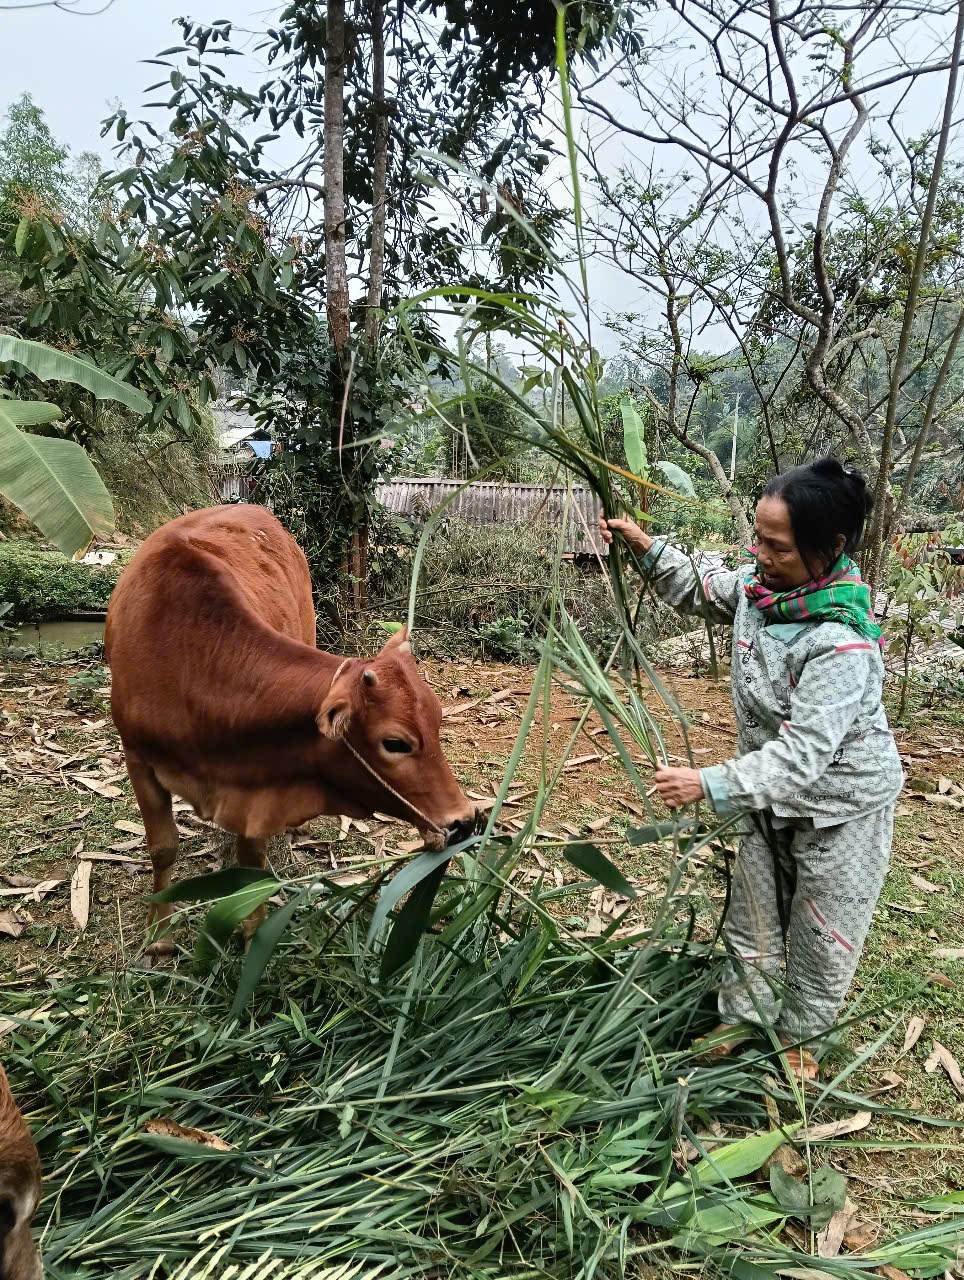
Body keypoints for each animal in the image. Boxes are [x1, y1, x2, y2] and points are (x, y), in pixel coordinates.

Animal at [106, 501, 478, 952]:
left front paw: (251, 933)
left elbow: (250, 864)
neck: (186, 660)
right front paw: (158, 932)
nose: (464, 822)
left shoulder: (260, 775)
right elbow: (163, 848)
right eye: (395, 743)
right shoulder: (137, 757)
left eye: (438, 720)